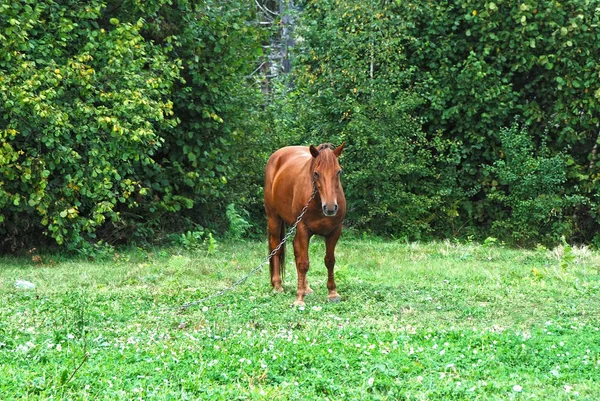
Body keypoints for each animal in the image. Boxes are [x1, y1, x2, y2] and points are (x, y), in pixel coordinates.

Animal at [264, 143, 346, 306]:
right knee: (276, 248)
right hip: (274, 218)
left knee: (296, 250)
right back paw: (277, 286)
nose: (330, 208)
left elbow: (330, 261)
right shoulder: (303, 228)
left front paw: (332, 293)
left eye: (338, 171)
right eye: (316, 173)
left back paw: (306, 288)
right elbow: (303, 263)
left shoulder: (335, 231)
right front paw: (299, 298)